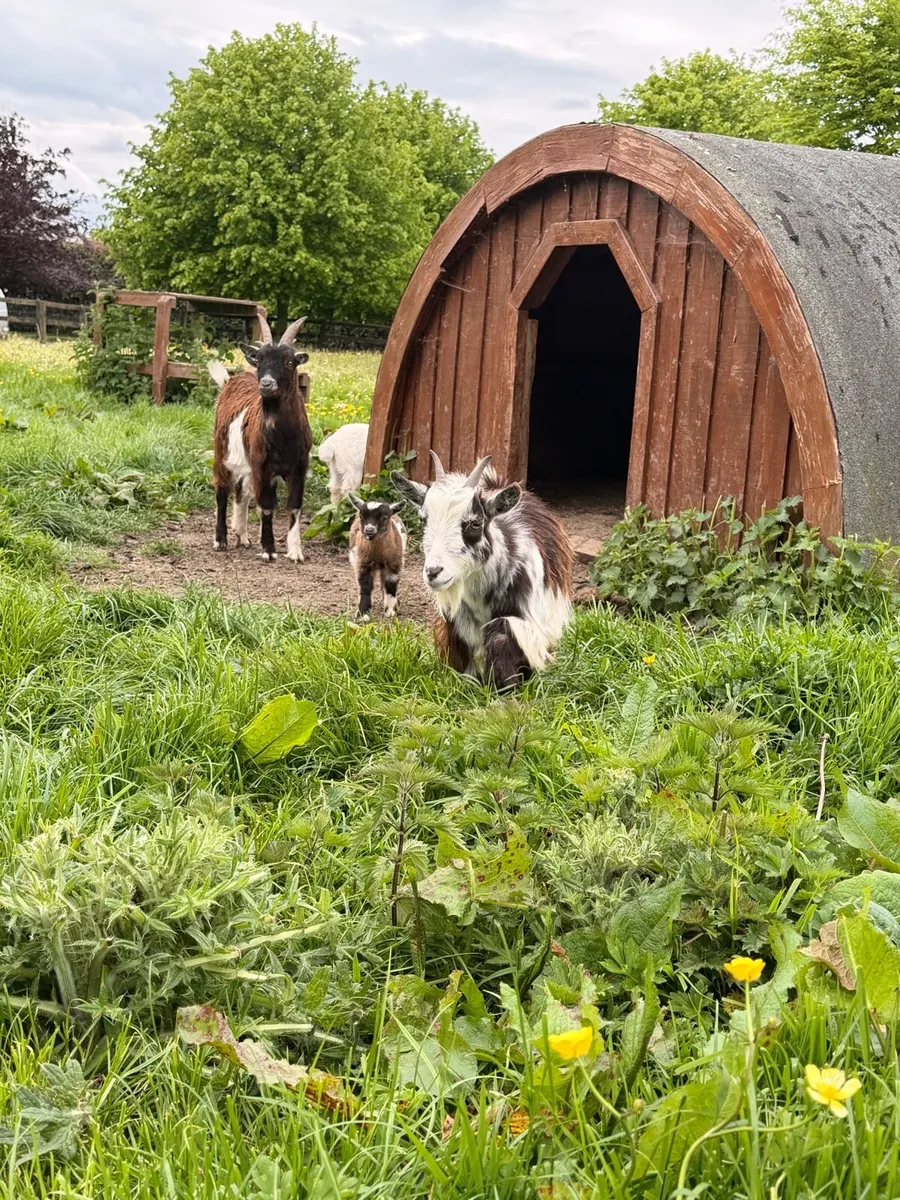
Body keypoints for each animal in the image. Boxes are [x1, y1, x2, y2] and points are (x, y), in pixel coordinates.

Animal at [211, 316, 312, 562]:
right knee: (222, 490)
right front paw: (268, 550)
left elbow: (294, 506)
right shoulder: (262, 466)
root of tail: (229, 381)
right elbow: (266, 505)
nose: (266, 384)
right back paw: (221, 539)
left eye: (289, 361)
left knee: (242, 491)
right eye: (260, 359)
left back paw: (242, 534)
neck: (284, 437)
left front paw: (295, 552)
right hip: (222, 450)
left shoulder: (299, 467)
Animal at [392, 453, 573, 689]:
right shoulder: (456, 622)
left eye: (475, 523)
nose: (433, 572)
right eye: (423, 520)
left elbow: (501, 636)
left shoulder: (529, 625)